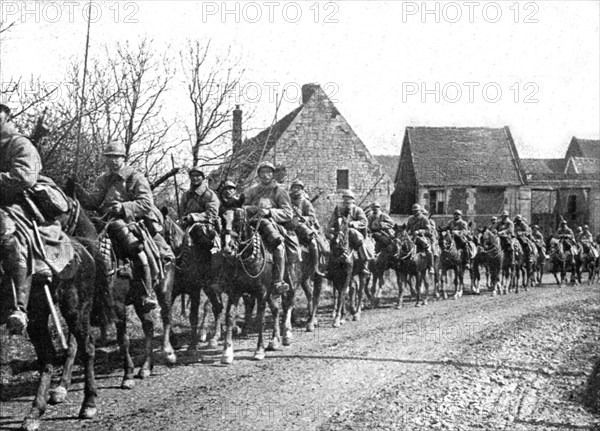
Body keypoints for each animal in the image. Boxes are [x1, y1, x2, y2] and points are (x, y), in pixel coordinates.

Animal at [0, 211, 102, 431]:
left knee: (87, 346)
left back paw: (88, 404)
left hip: (75, 309)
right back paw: (35, 412)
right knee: (48, 357)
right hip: (38, 317)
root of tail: (81, 247)